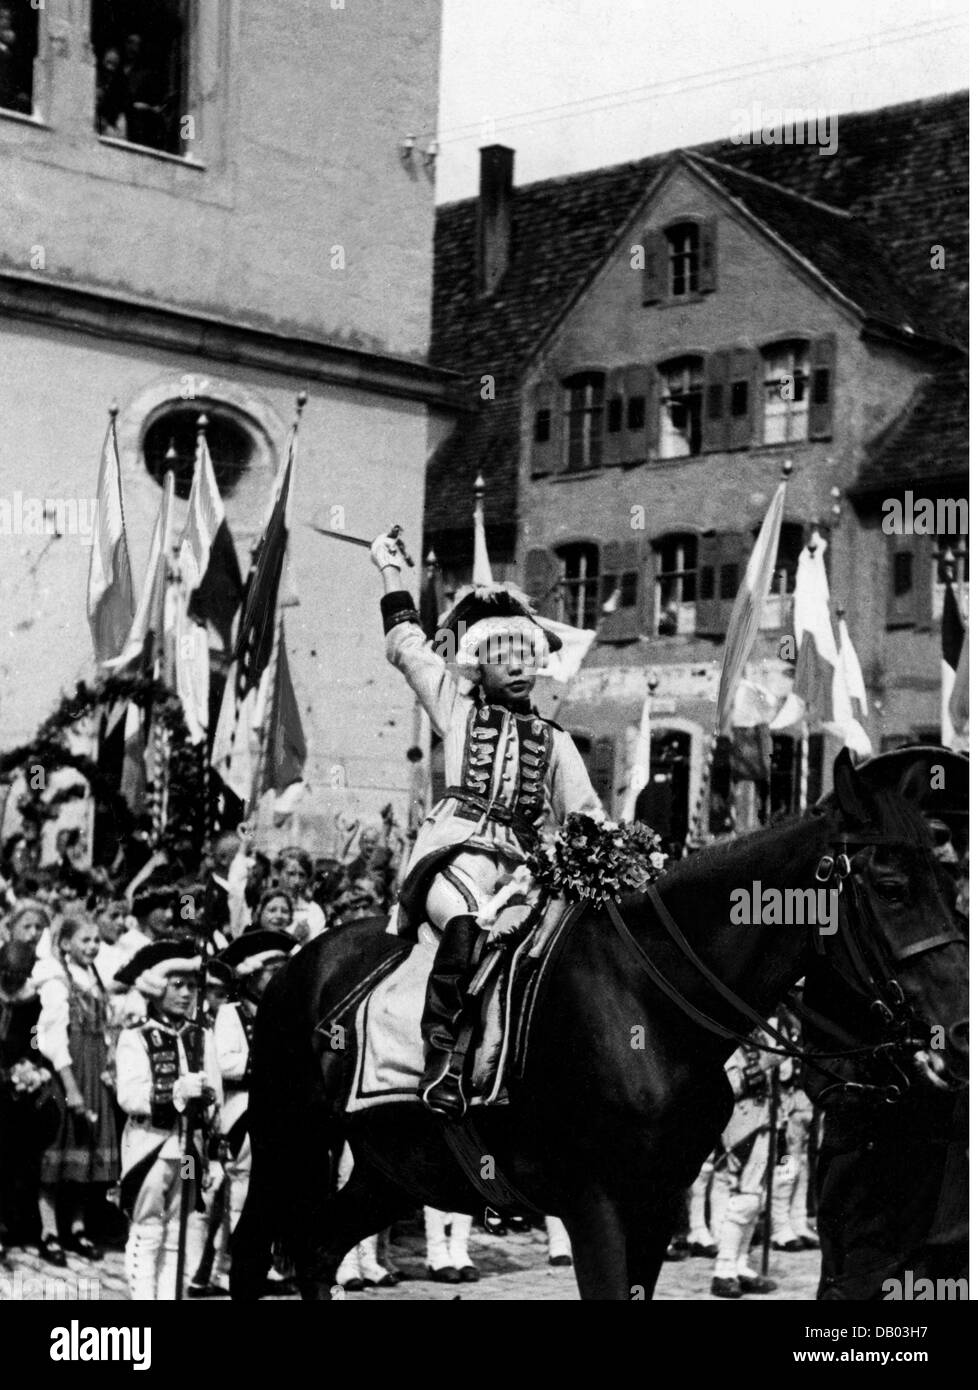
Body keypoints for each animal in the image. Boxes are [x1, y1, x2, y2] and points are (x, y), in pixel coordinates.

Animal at [233, 756, 966, 1295]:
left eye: (946, 883)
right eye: (892, 887)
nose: (959, 1033)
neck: (650, 1002)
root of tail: (303, 961)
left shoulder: (654, 1205)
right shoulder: (598, 1205)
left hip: (391, 1170)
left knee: (318, 1251)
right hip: (285, 1140)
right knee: (252, 1251)